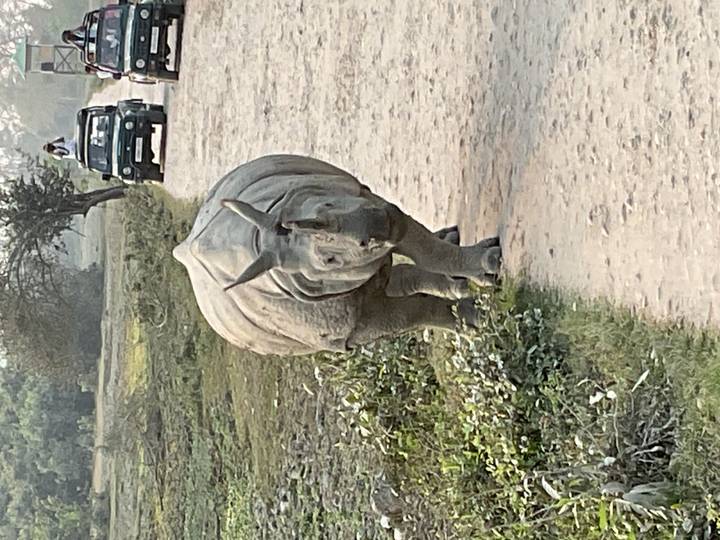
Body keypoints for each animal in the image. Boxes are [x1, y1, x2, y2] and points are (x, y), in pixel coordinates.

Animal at [173, 155, 501, 356]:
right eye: (328, 261)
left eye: (327, 205)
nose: (377, 227)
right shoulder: (347, 328)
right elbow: (409, 315)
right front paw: (475, 320)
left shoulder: (358, 197)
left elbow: (426, 250)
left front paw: (488, 268)